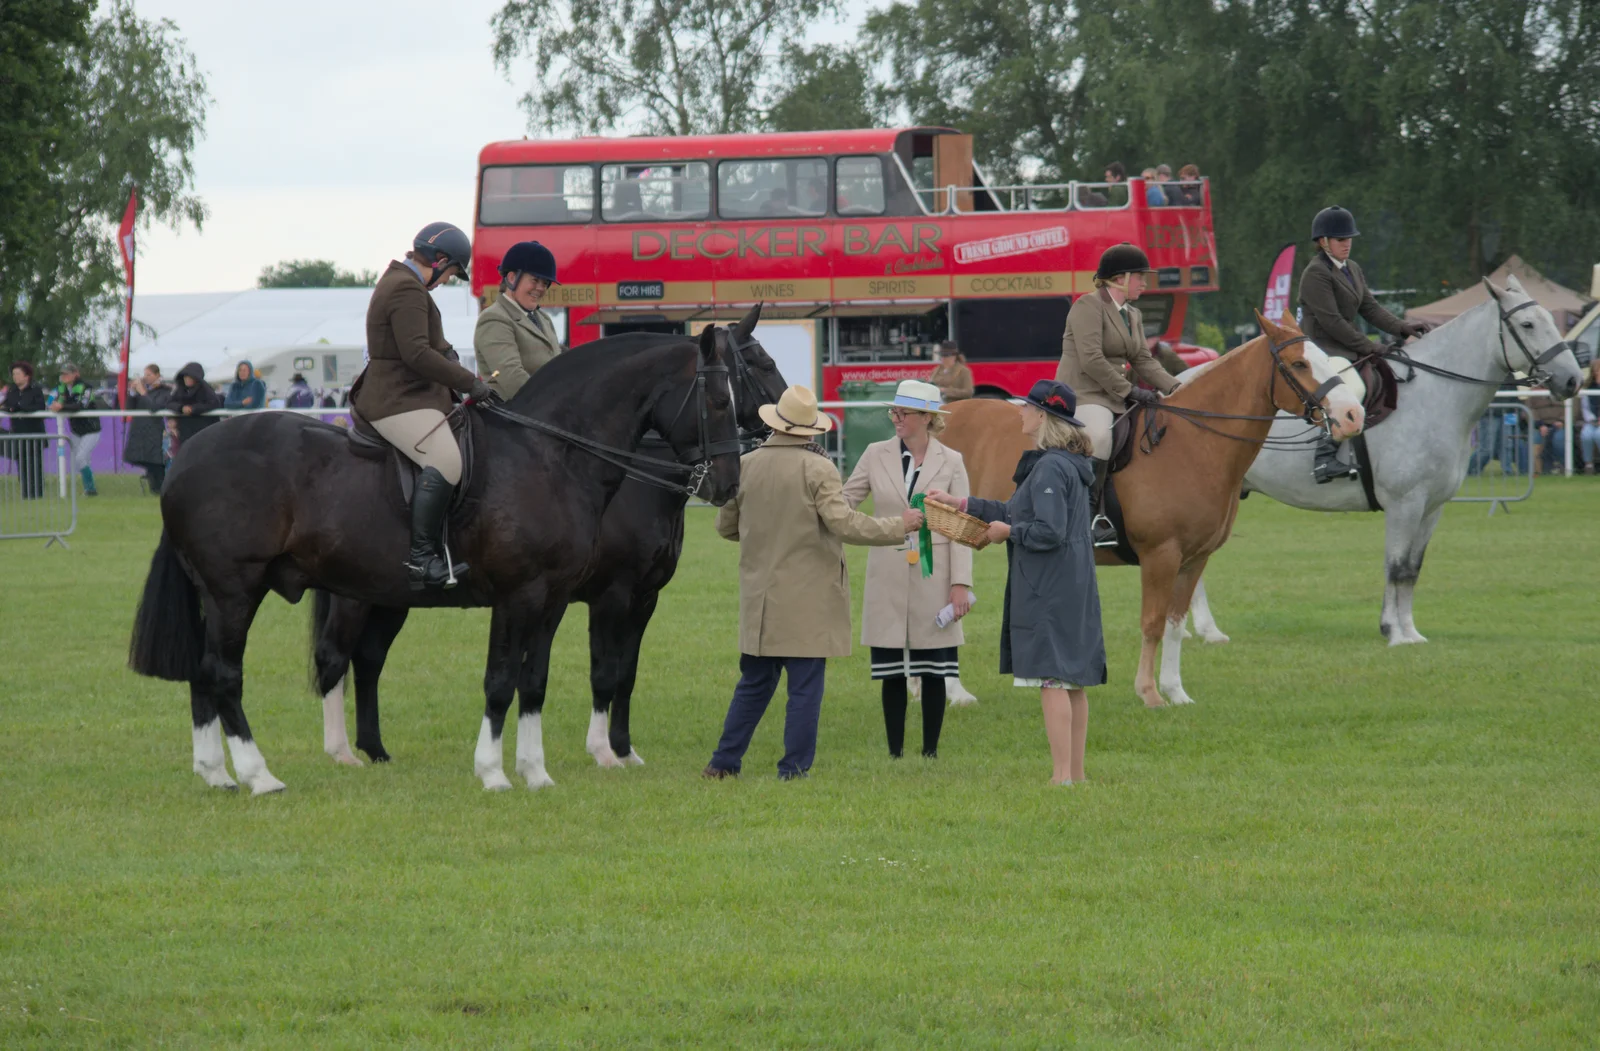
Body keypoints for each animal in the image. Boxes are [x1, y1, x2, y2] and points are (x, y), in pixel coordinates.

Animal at [131, 323, 742, 790]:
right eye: (718, 400)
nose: (729, 483)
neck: (549, 454)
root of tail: (188, 455)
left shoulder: (553, 600)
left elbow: (534, 682)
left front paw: (536, 773)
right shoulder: (525, 596)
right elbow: (501, 680)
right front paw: (494, 773)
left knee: (208, 673)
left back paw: (218, 773)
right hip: (235, 591)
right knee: (226, 672)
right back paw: (260, 776)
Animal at [302, 303, 784, 771]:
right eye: (757, 369)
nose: (727, 483)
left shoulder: (643, 598)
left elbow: (624, 674)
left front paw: (624, 749)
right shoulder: (609, 595)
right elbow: (603, 672)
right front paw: (603, 752)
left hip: (389, 595)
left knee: (368, 659)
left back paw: (376, 749)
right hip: (353, 595)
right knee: (335, 656)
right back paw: (343, 753)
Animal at [934, 311, 1363, 703]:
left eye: (1324, 357)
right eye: (1299, 364)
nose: (1352, 416)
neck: (1192, 443)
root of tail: (945, 417)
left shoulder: (1194, 559)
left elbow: (1174, 624)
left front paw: (1176, 692)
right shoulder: (1161, 555)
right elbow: (1153, 623)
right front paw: (1148, 692)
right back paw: (953, 693)